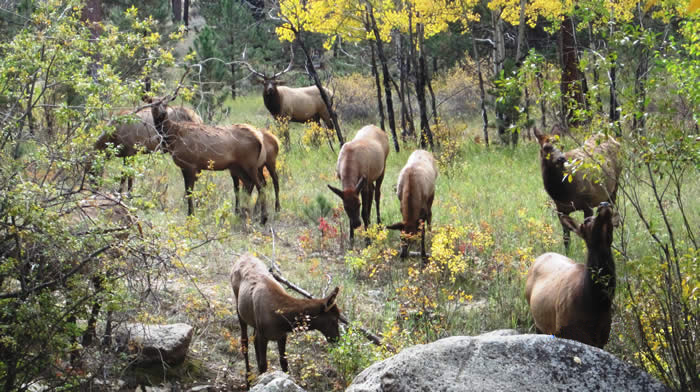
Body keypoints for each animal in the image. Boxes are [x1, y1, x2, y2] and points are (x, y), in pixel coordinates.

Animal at [232, 254, 342, 388]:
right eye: (334, 319)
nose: (337, 338)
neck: (281, 321)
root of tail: (243, 256)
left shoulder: (282, 335)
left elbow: (283, 362)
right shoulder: (263, 335)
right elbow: (263, 365)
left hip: (254, 323)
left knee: (253, 340)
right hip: (239, 308)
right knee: (245, 343)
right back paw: (248, 381)